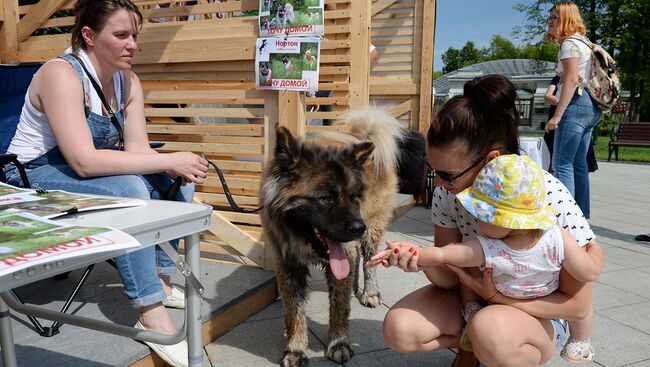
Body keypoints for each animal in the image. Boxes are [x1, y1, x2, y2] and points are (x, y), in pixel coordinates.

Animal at [256, 108, 400, 367]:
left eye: (353, 196)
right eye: (326, 198)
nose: (358, 227)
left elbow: (340, 307)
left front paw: (339, 344)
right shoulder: (288, 264)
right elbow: (294, 313)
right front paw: (295, 350)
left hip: (372, 228)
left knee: (369, 260)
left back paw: (370, 293)